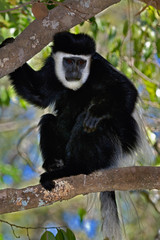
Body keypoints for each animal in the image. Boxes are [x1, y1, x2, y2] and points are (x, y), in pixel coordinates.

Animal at [0, 32, 140, 240]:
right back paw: (55, 164)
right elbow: (38, 93)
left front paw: (97, 112)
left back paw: (75, 168)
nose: (75, 71)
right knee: (49, 120)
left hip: (109, 147)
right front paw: (8, 43)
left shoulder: (100, 67)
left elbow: (128, 92)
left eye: (81, 63)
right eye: (68, 61)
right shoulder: (52, 68)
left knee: (89, 124)